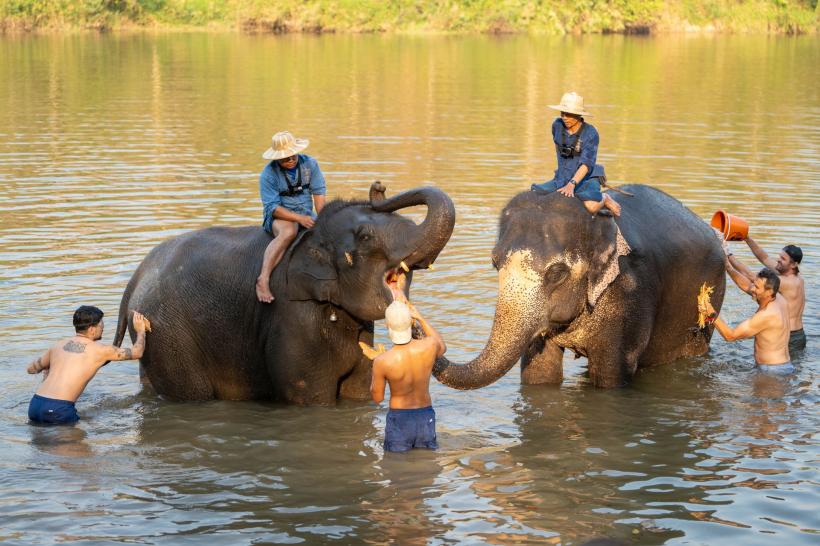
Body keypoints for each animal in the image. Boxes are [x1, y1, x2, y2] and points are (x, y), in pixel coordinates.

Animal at [110, 183, 454, 404]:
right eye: (366, 236)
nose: (378, 188)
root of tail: (135, 279)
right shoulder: (293, 318)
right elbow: (311, 398)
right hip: (169, 336)